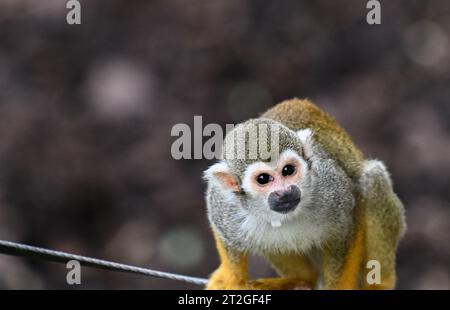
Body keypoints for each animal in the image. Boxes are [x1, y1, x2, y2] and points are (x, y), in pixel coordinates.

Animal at [202, 98, 406, 290]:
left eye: (288, 170)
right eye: (263, 179)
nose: (284, 192)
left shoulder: (329, 186)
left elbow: (349, 222)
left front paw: (340, 287)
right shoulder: (226, 206)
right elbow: (223, 233)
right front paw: (231, 278)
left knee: (372, 178)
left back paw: (381, 283)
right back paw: (301, 280)